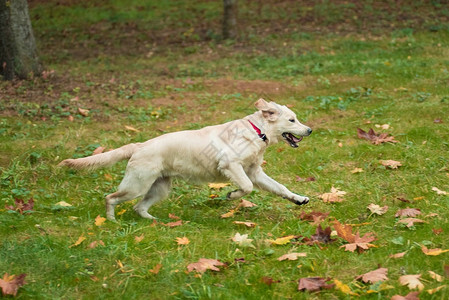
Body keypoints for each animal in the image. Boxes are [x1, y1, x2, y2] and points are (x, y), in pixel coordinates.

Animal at [58, 99, 312, 220]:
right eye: (292, 120)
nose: (309, 130)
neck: (256, 131)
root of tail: (139, 145)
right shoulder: (231, 166)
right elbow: (247, 188)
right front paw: (231, 195)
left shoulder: (255, 172)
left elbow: (280, 188)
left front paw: (299, 199)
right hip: (136, 186)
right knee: (110, 198)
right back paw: (111, 221)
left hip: (158, 189)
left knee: (139, 208)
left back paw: (155, 222)